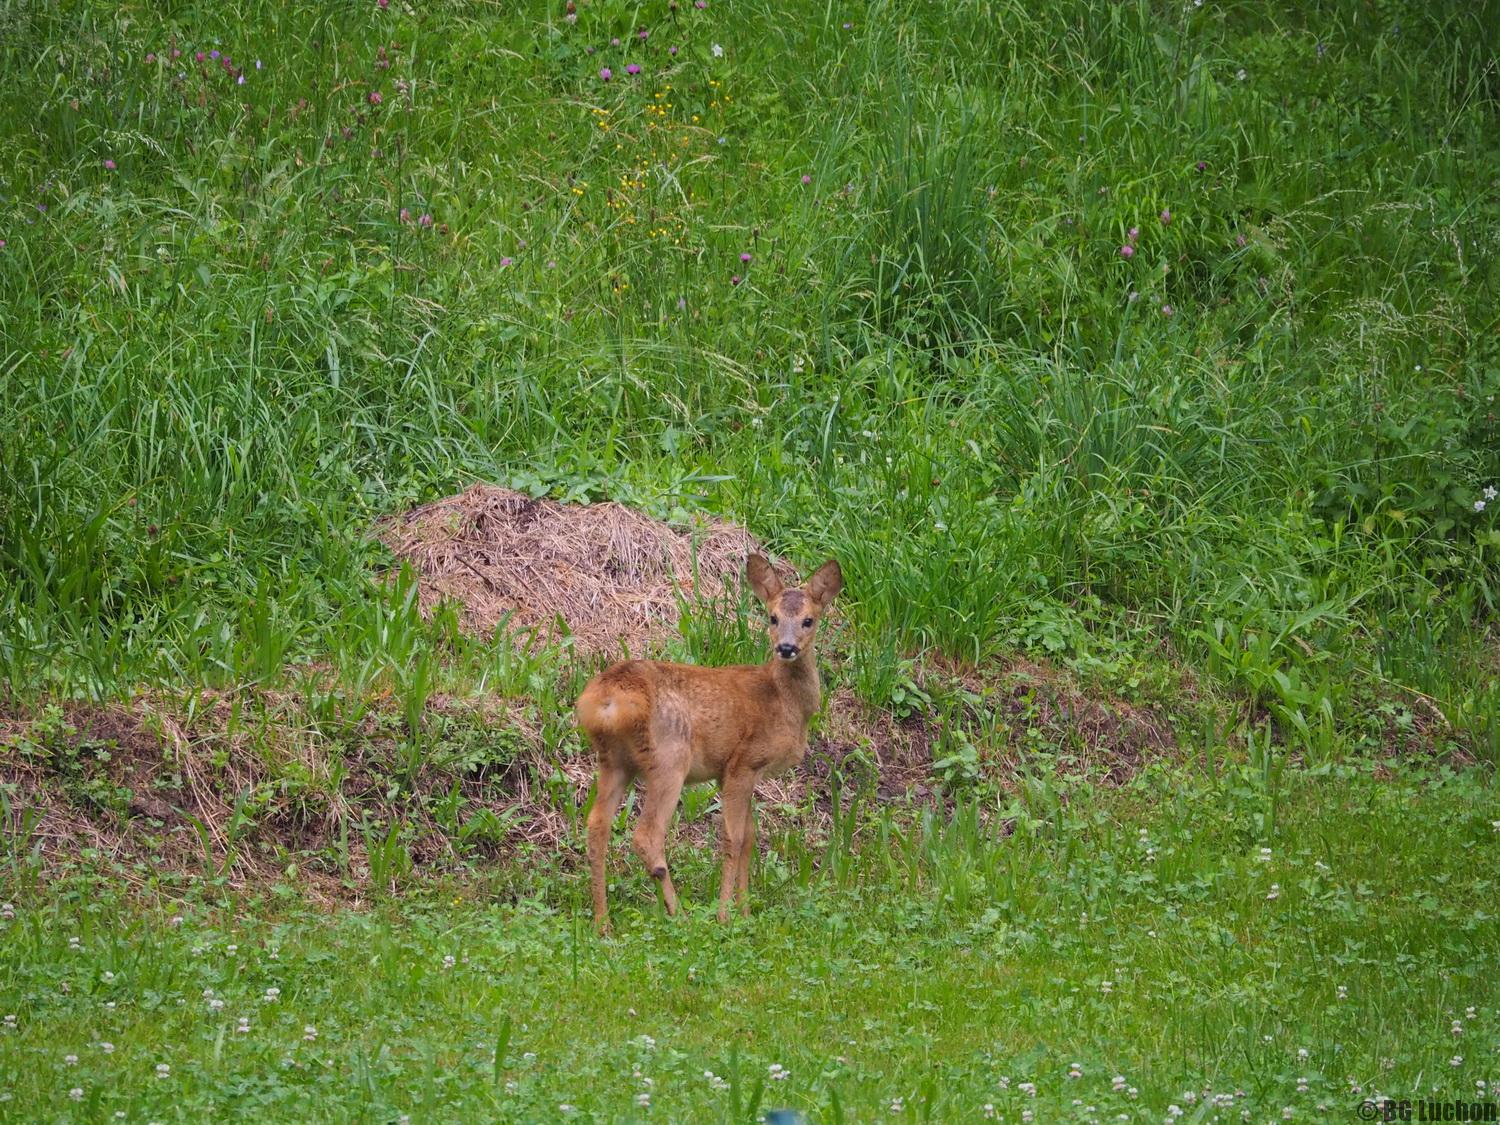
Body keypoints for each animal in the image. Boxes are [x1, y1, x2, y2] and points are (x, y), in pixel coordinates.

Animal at [573, 555, 840, 936]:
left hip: (613, 761)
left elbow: (750, 837)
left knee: (596, 826)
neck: (783, 702)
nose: (786, 648)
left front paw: (745, 911)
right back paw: (679, 915)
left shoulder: (736, 773)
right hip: (670, 759)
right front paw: (727, 914)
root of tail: (608, 698)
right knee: (647, 836)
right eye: (773, 617)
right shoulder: (743, 762)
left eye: (808, 619)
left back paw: (602, 922)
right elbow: (734, 838)